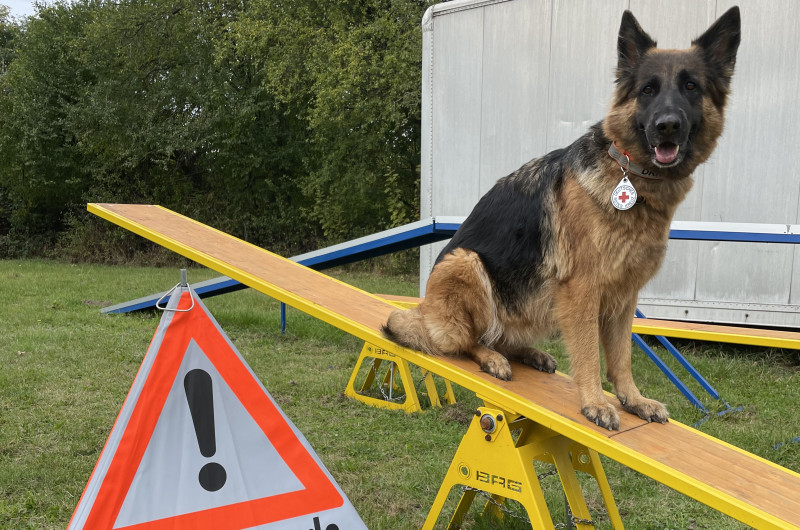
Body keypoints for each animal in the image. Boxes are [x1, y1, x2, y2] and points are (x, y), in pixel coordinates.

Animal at [384, 7, 740, 428]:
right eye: (648, 90)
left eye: (690, 86)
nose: (667, 125)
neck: (630, 173)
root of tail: (424, 312)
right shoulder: (583, 289)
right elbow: (588, 353)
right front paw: (595, 402)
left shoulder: (624, 296)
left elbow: (621, 356)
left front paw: (633, 399)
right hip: (465, 262)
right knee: (466, 341)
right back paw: (491, 358)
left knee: (500, 335)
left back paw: (528, 352)